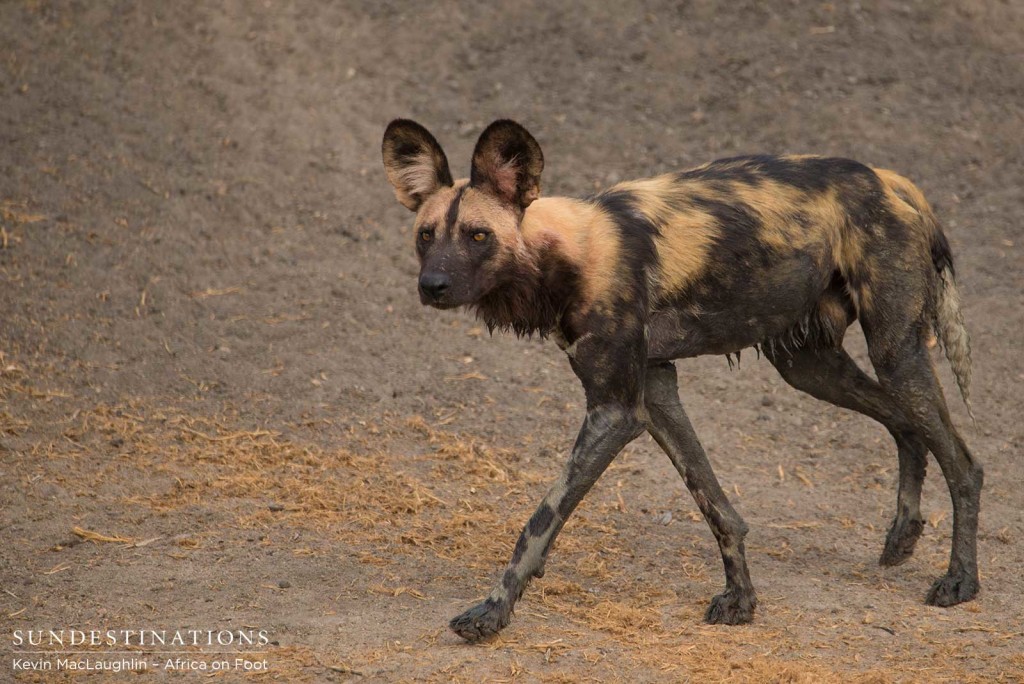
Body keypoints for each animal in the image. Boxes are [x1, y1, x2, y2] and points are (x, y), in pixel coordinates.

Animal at [380, 118, 978, 643]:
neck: (567, 255)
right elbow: (716, 506)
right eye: (426, 236)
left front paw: (492, 613)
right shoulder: (655, 389)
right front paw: (741, 600)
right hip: (811, 367)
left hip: (893, 354)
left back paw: (960, 582)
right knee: (906, 426)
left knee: (965, 463)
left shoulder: (615, 411)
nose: (432, 285)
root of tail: (887, 177)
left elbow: (540, 519)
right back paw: (903, 535)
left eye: (478, 235)